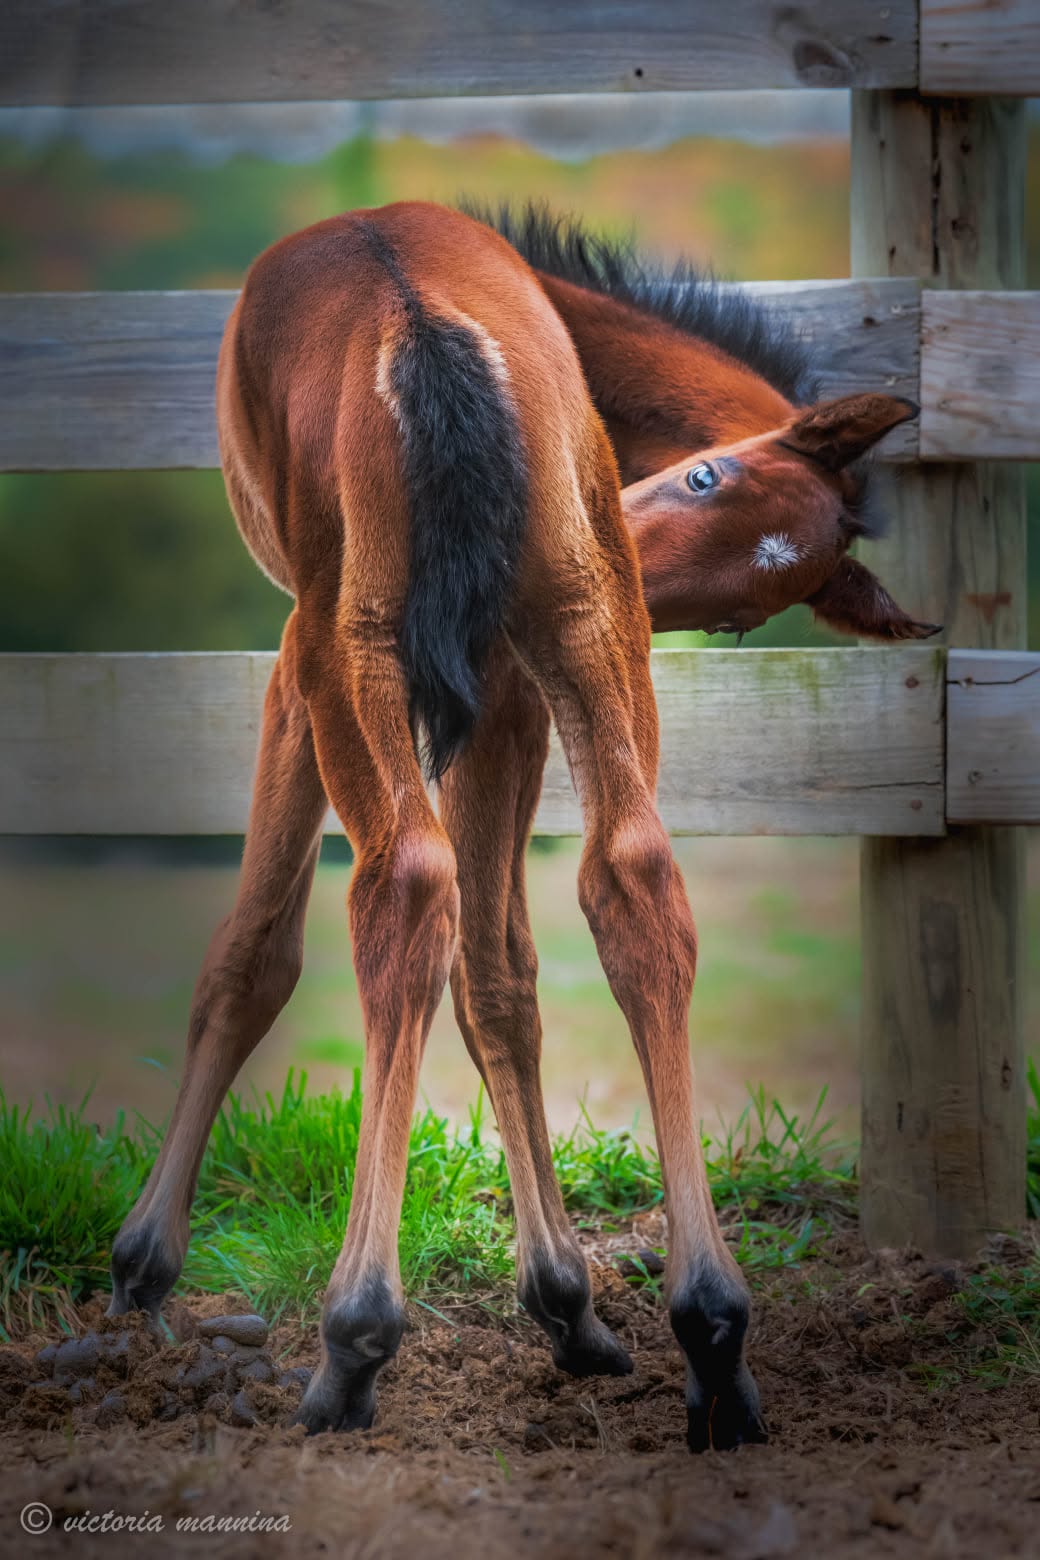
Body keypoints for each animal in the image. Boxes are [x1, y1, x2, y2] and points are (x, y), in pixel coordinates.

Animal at [107, 200, 931, 1452]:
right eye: (703, 473)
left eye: (745, 618)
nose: (644, 560)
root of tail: (423, 321)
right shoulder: (507, 686)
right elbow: (502, 977)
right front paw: (565, 1304)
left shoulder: (294, 669)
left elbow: (254, 956)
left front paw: (145, 1265)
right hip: (583, 622)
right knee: (631, 882)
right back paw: (712, 1333)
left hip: (349, 647)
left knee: (401, 889)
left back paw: (353, 1341)